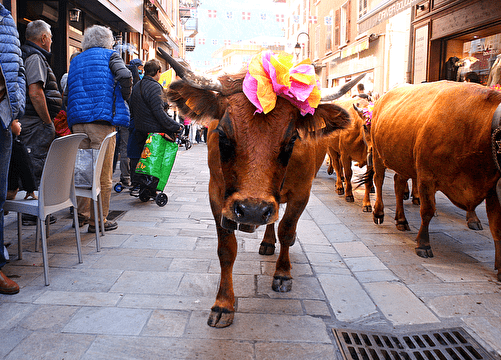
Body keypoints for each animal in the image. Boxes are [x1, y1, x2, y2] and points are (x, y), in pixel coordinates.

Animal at [160, 48, 360, 330]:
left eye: (292, 140)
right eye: (222, 135)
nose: (253, 210)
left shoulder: (302, 193)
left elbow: (286, 230)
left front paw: (283, 274)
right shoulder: (217, 194)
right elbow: (226, 249)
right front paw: (223, 304)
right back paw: (266, 242)